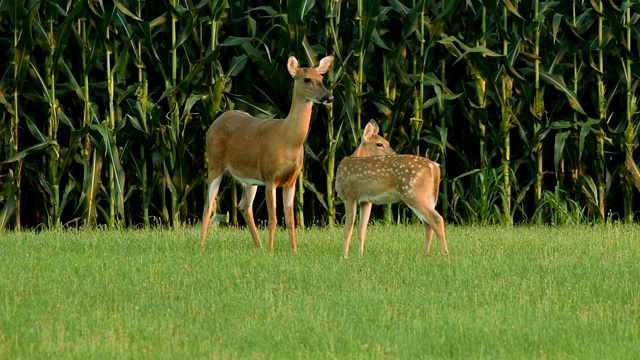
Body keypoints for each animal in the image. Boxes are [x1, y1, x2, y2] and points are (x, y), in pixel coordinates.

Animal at [200, 54, 336, 252]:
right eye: (307, 79)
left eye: (321, 78)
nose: (329, 97)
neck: (288, 140)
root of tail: (215, 122)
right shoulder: (270, 176)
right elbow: (273, 218)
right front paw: (272, 251)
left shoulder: (292, 180)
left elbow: (291, 219)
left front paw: (294, 251)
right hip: (215, 163)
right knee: (208, 205)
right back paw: (201, 245)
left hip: (249, 177)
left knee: (244, 206)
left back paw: (259, 246)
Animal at [336, 119, 450, 258]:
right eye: (379, 144)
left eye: (387, 142)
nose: (394, 153)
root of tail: (435, 167)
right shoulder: (366, 201)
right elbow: (362, 231)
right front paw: (360, 256)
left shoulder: (349, 195)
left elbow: (347, 229)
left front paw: (344, 256)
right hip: (425, 196)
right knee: (427, 223)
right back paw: (425, 255)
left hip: (413, 193)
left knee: (436, 219)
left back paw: (445, 254)